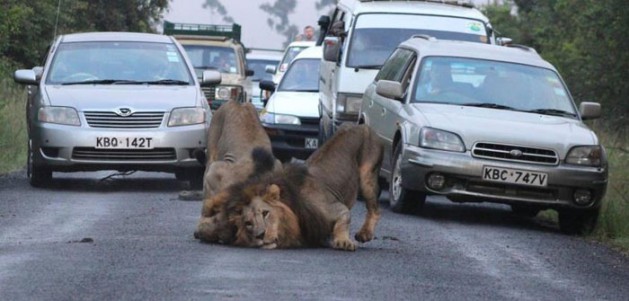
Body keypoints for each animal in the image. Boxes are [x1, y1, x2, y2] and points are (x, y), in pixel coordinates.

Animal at [226, 124, 382, 251]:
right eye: (248, 223)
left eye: (265, 213)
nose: (260, 235)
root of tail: (361, 125)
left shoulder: (333, 208)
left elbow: (344, 219)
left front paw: (343, 241)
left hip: (367, 176)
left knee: (374, 209)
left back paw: (365, 233)